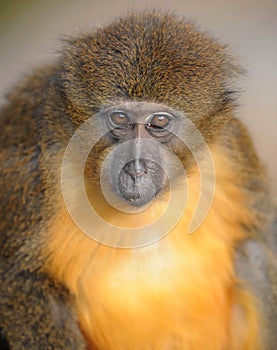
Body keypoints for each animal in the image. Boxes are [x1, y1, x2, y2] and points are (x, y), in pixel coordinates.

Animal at [0, 10, 276, 350]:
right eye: (120, 119)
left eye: (158, 123)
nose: (136, 168)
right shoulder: (37, 170)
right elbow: (21, 280)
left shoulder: (232, 149)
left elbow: (263, 234)